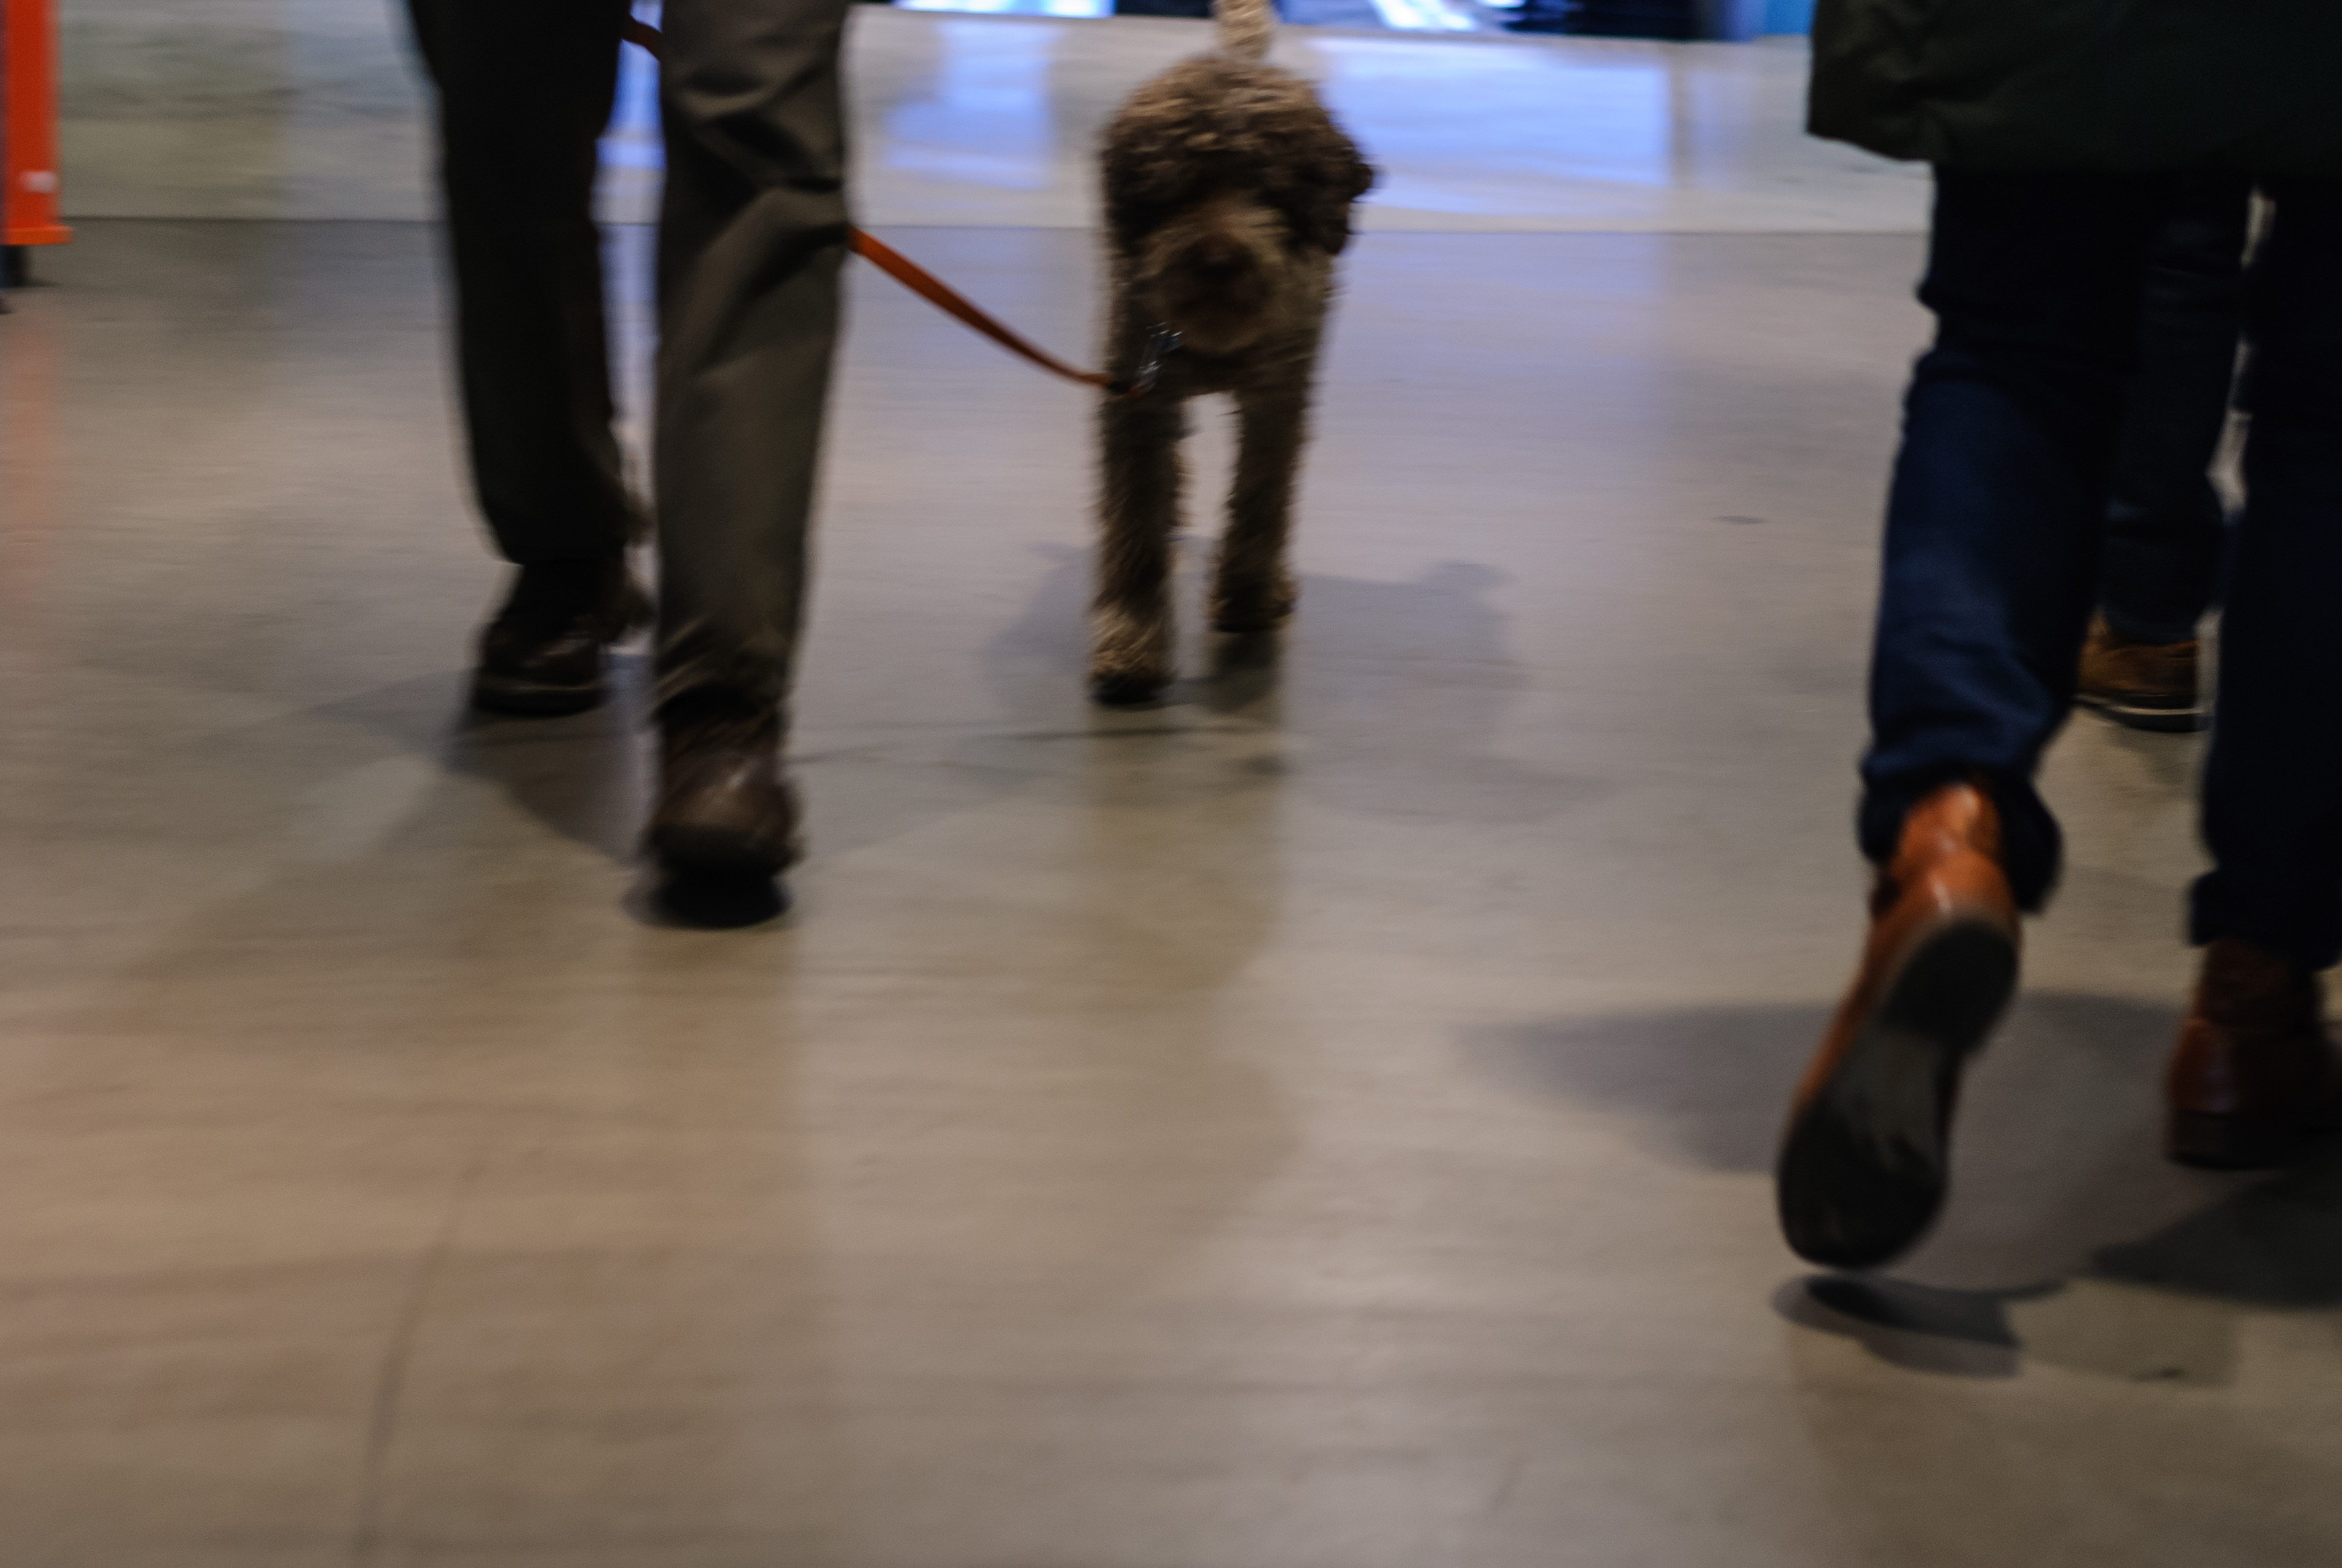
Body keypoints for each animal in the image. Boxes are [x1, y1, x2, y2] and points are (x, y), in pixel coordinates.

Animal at [1087, 0, 1376, 704]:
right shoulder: (1136, 394)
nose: (1218, 260)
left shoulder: (1280, 396)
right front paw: (1132, 641)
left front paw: (1247, 595)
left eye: (1267, 186)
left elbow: (1261, 499)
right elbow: (1134, 524)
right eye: (1180, 184)